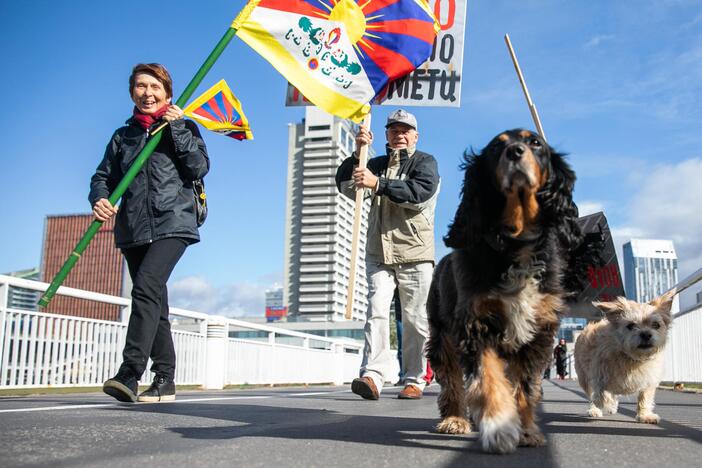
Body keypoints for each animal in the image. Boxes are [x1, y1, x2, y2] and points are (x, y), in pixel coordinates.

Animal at [428, 128, 584, 454]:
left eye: (535, 142)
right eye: (495, 148)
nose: (514, 151)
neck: (517, 243)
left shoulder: (537, 333)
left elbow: (524, 387)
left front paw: (526, 431)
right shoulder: (475, 324)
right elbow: (487, 378)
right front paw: (500, 427)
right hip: (441, 334)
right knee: (451, 379)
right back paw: (454, 419)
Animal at [576, 288, 676, 424]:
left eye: (656, 325)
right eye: (631, 325)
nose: (646, 334)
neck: (633, 359)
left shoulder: (649, 380)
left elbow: (645, 397)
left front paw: (644, 416)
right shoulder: (598, 377)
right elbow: (602, 394)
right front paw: (605, 404)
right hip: (584, 378)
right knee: (593, 394)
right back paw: (596, 409)